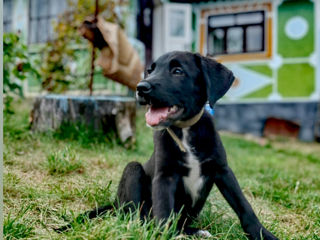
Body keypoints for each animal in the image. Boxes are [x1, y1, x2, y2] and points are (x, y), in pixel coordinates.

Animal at [58, 51, 278, 240]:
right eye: (150, 70)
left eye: (178, 71)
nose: (141, 87)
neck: (185, 131)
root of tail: (115, 203)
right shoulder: (165, 176)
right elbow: (164, 211)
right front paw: (164, 235)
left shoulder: (222, 170)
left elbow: (245, 207)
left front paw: (263, 235)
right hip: (132, 170)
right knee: (137, 218)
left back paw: (195, 231)